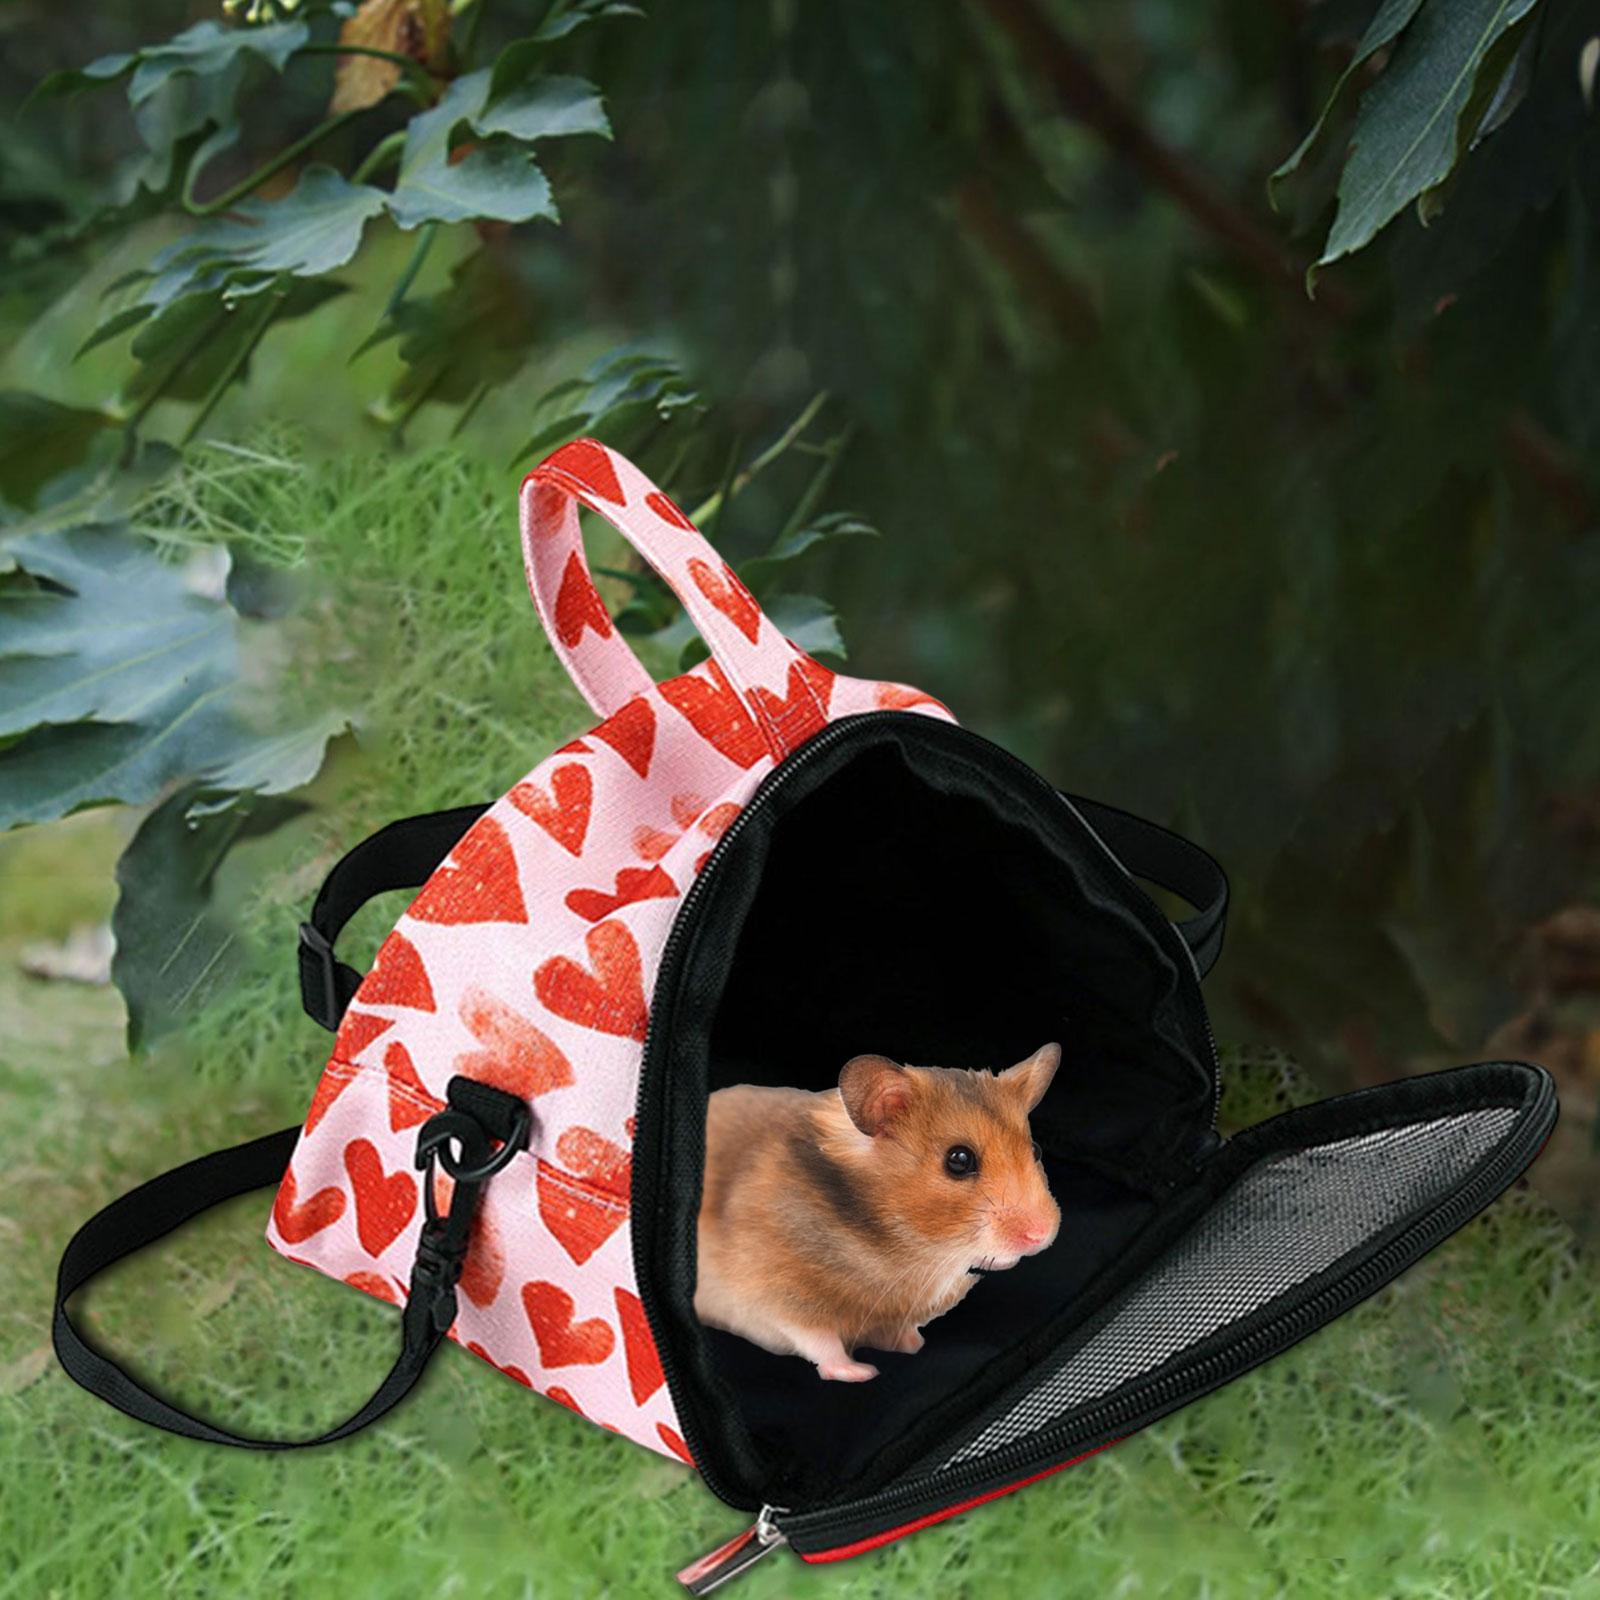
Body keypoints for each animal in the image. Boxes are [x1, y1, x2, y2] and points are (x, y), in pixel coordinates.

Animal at [693, 1043, 1061, 1382]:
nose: (1042, 1235)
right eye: (959, 1160)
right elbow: (817, 1338)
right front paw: (862, 1372)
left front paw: (913, 1343)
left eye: (1035, 1149)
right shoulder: (771, 1294)